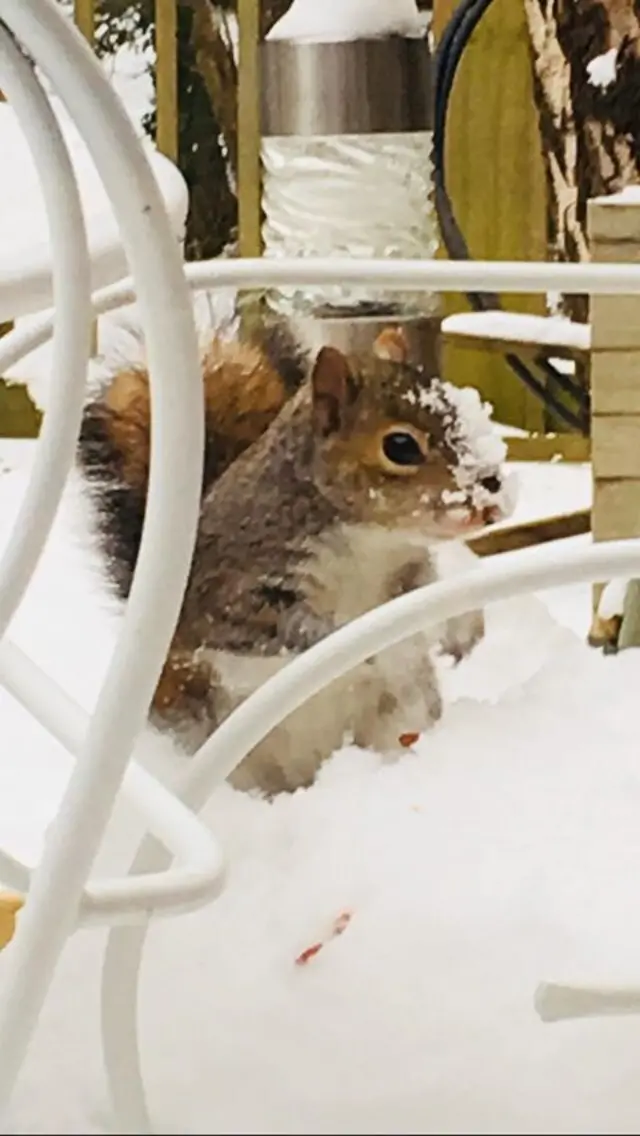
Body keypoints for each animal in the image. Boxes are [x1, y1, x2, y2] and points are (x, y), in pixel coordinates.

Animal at [79, 315, 511, 795]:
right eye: (400, 446)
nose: (491, 499)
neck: (370, 540)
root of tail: (307, 774)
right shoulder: (235, 590)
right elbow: (291, 627)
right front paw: (356, 645)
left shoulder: (407, 569)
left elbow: (417, 598)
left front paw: (437, 630)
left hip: (398, 714)